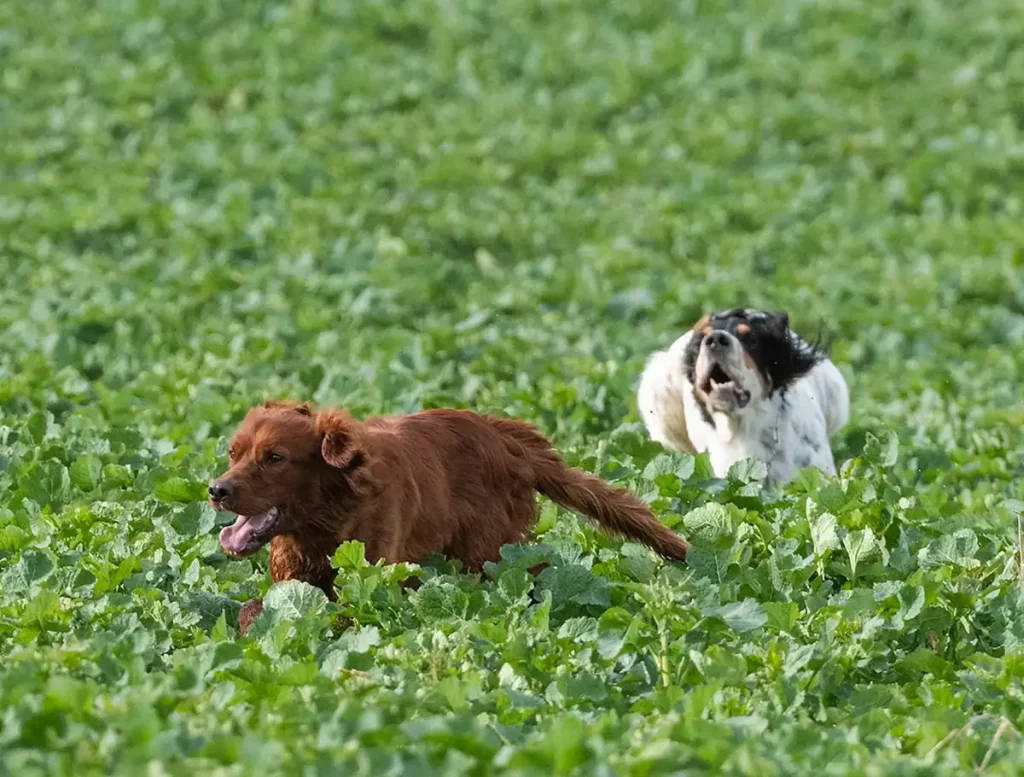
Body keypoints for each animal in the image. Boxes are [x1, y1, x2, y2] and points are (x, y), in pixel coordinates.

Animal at [207, 401, 688, 630]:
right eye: (233, 452)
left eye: (274, 457)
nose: (216, 490)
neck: (326, 520)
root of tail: (505, 438)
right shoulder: (291, 581)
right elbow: (252, 609)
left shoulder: (372, 584)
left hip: (489, 556)